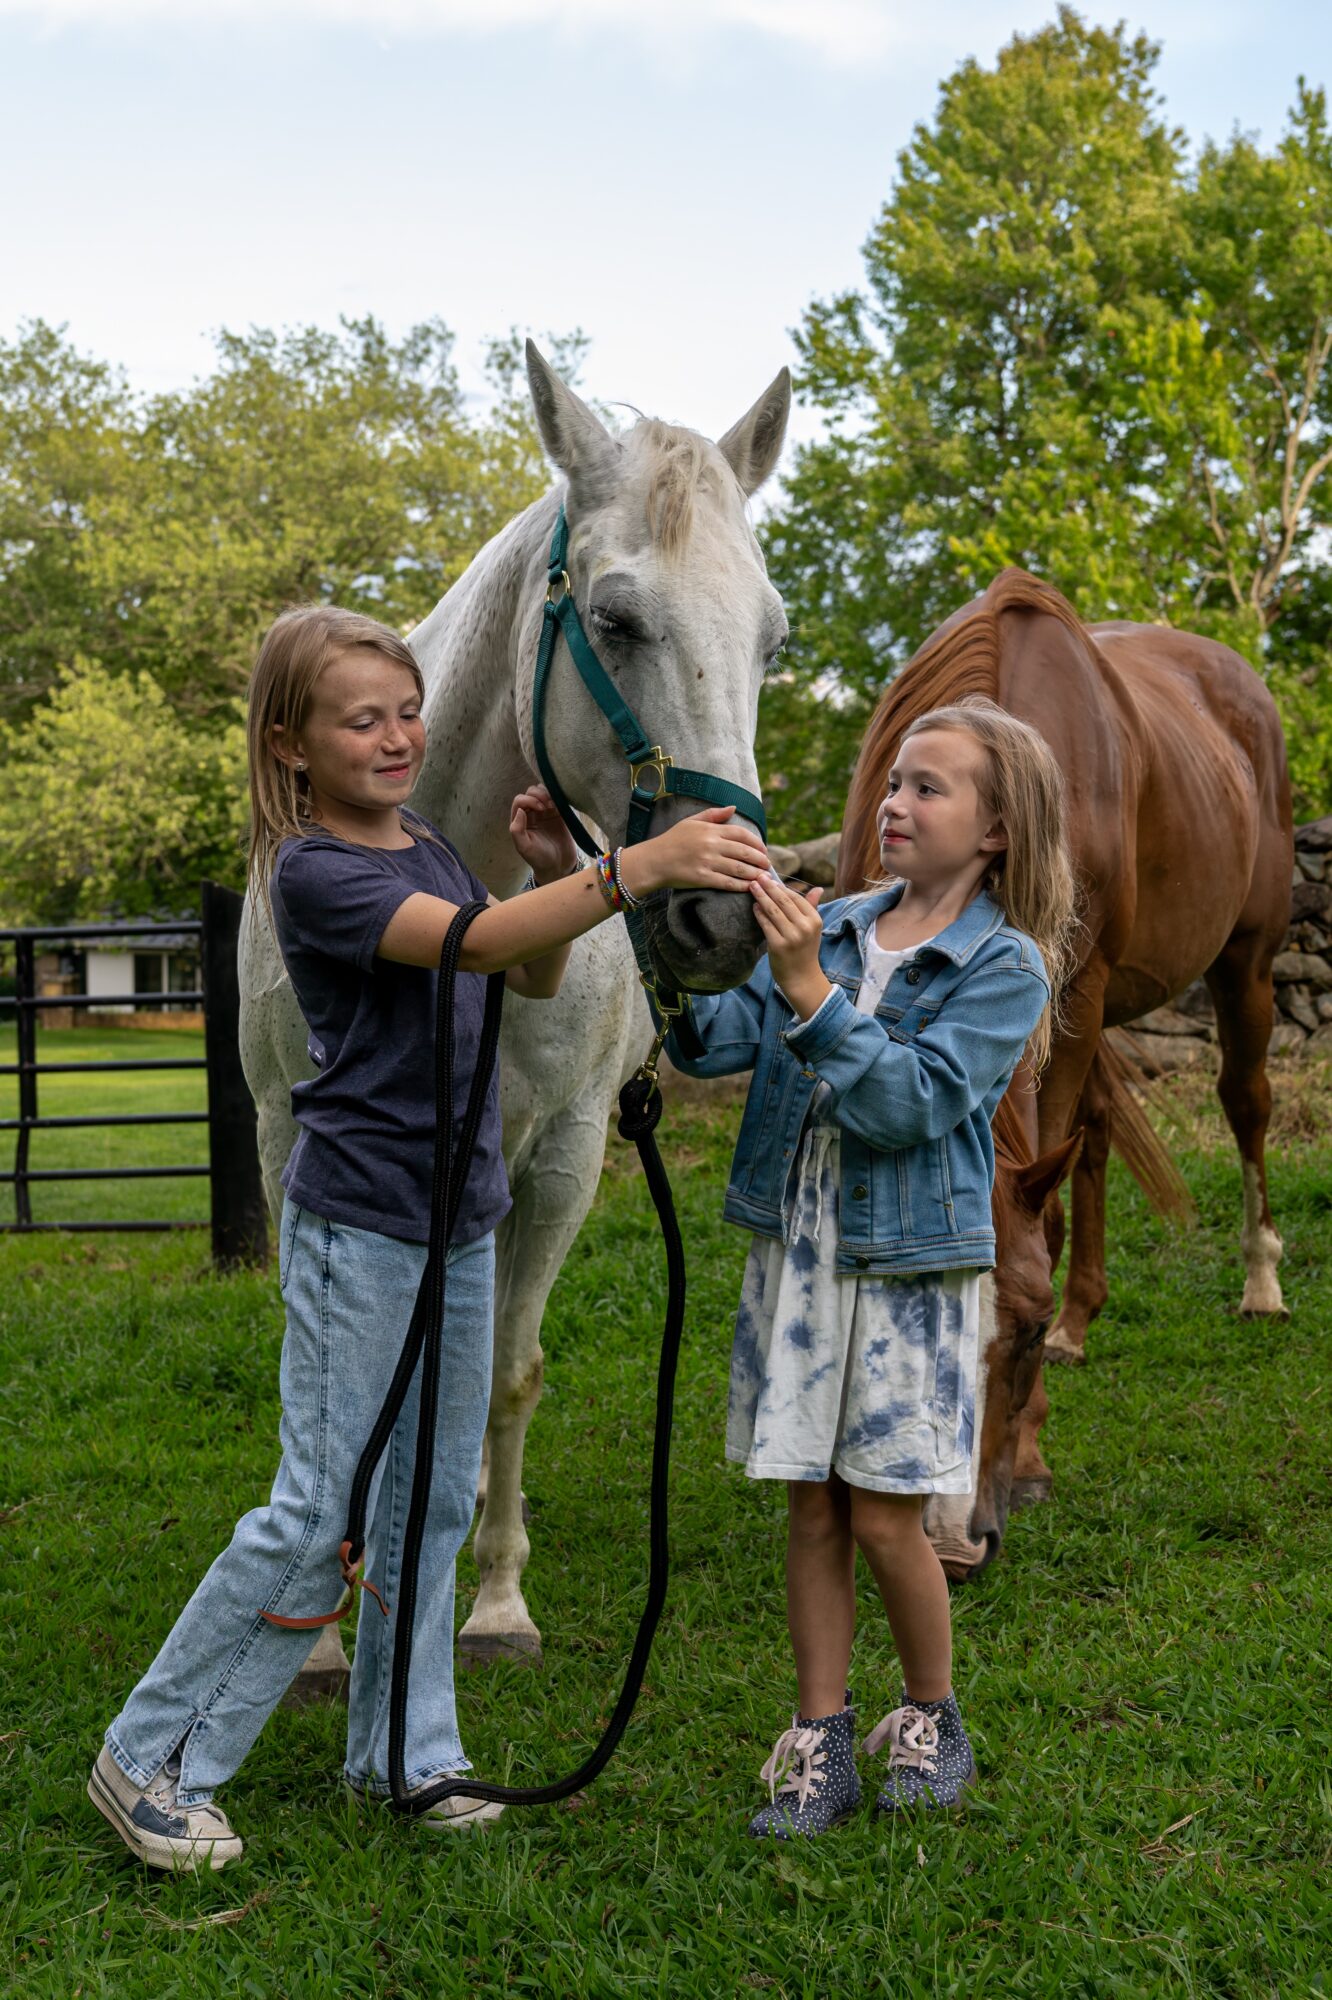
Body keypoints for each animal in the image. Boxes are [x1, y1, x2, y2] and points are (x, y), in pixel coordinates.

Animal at [834, 568, 1293, 1578]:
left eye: (1025, 1332)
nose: (953, 1547)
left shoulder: (1072, 994)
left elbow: (1038, 1217)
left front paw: (1035, 1451)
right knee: (1092, 1138)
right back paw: (1096, 1317)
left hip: (1244, 963)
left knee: (1243, 1103)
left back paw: (1261, 1284)